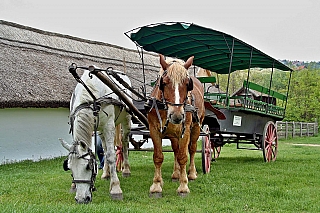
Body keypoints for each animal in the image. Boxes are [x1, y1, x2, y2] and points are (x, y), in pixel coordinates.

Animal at [59, 69, 131, 204]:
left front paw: (116, 188)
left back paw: (126, 170)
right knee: (105, 149)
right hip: (101, 130)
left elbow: (111, 156)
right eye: (69, 167)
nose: (81, 199)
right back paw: (106, 174)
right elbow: (106, 153)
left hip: (126, 119)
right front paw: (73, 186)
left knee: (124, 143)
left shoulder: (109, 125)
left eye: (89, 167)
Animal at [148, 55, 205, 196]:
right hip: (173, 134)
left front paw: (183, 186)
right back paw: (176, 173)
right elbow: (158, 157)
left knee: (192, 149)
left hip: (196, 127)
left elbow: (183, 156)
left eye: (187, 84)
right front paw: (156, 185)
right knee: (175, 149)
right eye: (164, 82)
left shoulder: (185, 131)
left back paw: (191, 173)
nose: (177, 115)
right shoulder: (154, 130)